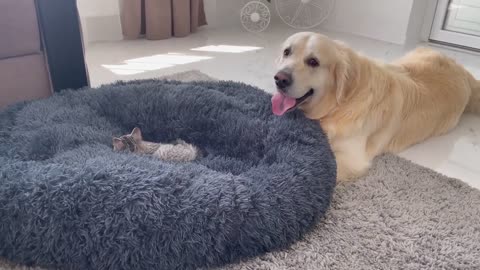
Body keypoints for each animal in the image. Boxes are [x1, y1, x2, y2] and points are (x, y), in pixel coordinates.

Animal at [272, 32, 480, 181]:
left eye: (313, 62)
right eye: (286, 52)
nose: (279, 79)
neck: (339, 105)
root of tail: (463, 71)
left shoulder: (351, 159)